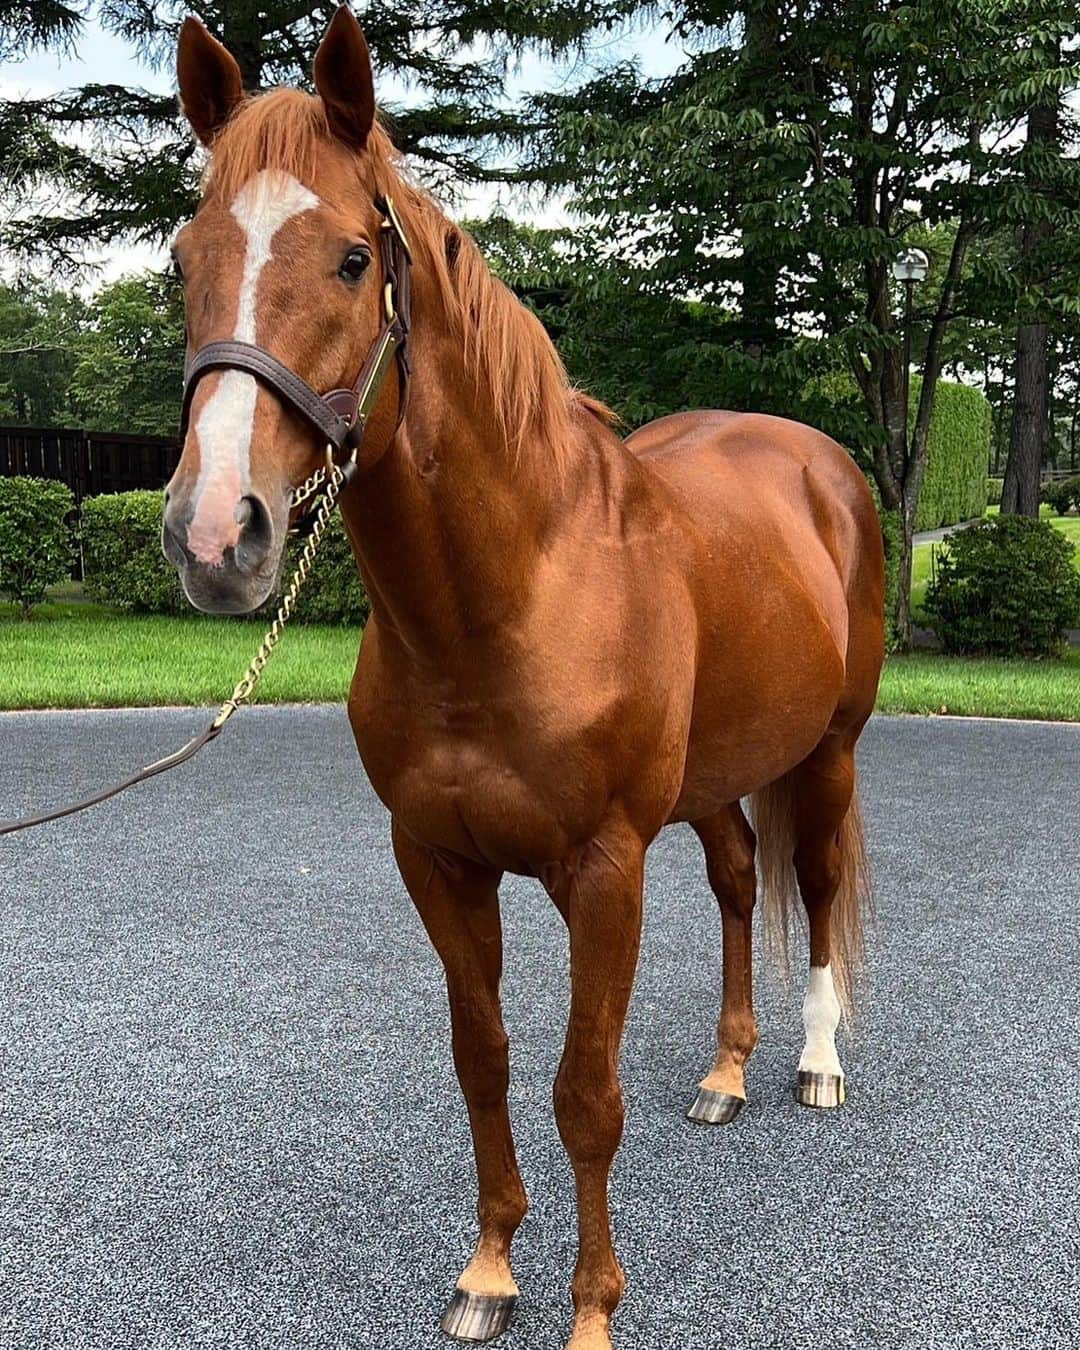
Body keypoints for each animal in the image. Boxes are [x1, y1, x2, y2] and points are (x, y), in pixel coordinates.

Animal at [162, 13, 885, 1350]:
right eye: (187, 256)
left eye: (353, 259)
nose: (216, 534)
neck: (510, 601)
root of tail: (816, 462)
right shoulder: (438, 862)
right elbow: (484, 1062)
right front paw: (491, 1271)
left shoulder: (603, 870)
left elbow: (583, 1091)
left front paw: (592, 1308)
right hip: (714, 781)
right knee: (737, 881)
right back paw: (725, 1073)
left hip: (830, 751)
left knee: (809, 887)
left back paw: (815, 1066)